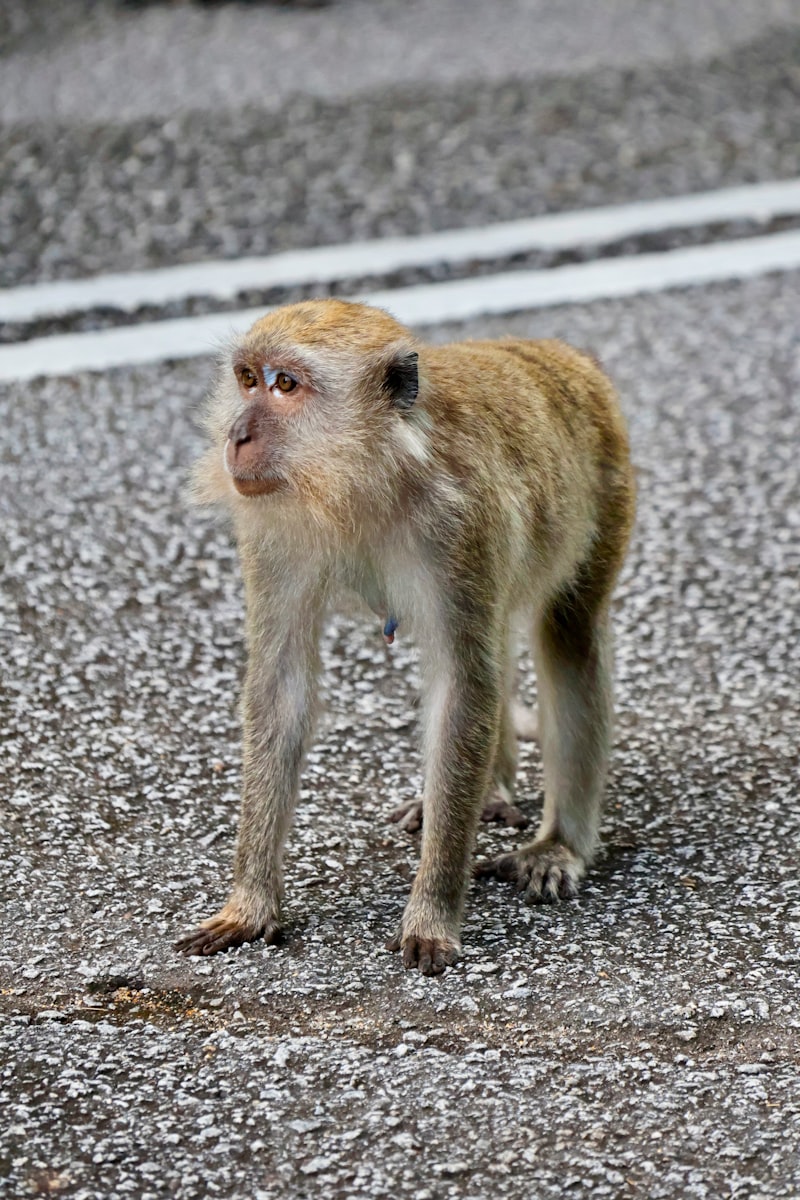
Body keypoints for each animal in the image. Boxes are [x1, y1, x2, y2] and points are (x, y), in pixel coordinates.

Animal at [172, 297, 633, 974]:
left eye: (287, 385)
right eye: (248, 379)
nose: (237, 435)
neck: (372, 473)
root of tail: (556, 352)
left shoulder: (463, 525)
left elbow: (461, 690)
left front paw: (432, 912)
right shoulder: (272, 531)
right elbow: (281, 686)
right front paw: (250, 905)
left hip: (608, 482)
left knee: (567, 635)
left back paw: (559, 844)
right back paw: (491, 789)